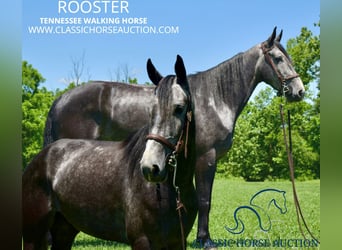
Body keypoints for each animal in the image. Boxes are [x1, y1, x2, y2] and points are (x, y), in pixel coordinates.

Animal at [22, 55, 198, 249]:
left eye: (179, 108)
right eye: (150, 111)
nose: (150, 167)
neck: (172, 190)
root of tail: (41, 158)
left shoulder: (178, 242)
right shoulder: (141, 240)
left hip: (64, 231)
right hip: (32, 236)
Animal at [42, 27, 304, 248]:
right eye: (278, 59)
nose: (299, 91)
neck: (213, 99)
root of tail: (61, 99)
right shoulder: (206, 157)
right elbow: (205, 200)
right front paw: (205, 240)